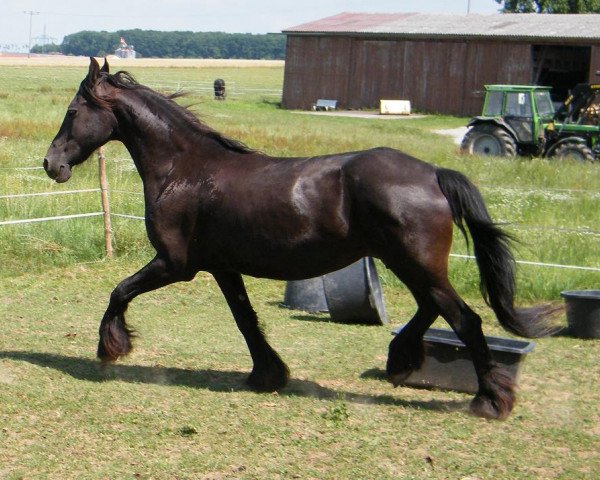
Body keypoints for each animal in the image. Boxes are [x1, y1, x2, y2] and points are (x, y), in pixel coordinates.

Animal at [42, 59, 556, 420]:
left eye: (72, 112)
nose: (51, 164)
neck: (184, 170)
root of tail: (433, 172)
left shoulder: (174, 264)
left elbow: (119, 291)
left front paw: (111, 348)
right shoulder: (222, 267)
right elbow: (246, 320)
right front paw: (268, 374)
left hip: (415, 262)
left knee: (465, 319)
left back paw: (489, 401)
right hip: (407, 262)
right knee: (433, 309)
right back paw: (402, 362)